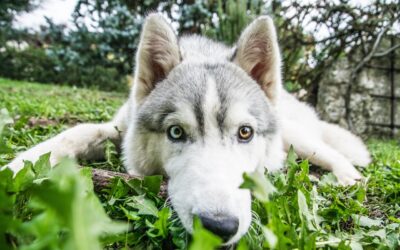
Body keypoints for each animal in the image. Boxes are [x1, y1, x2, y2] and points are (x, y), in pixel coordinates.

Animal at [5, 14, 372, 244]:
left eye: (245, 133)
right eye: (176, 133)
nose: (218, 227)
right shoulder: (118, 129)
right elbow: (75, 133)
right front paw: (16, 167)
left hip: (298, 137)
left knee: (333, 152)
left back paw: (347, 178)